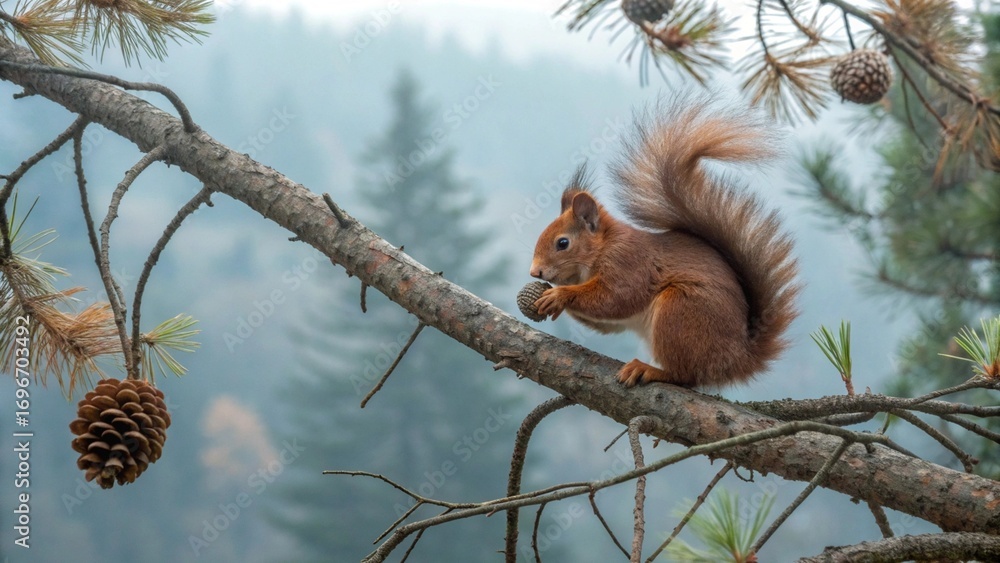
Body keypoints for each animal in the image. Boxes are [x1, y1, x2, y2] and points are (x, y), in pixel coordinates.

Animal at [529, 98, 800, 388]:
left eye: (563, 243)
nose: (535, 272)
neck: (602, 249)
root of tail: (737, 359)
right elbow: (609, 322)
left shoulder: (629, 263)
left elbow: (616, 298)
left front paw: (560, 295)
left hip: (680, 310)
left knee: (685, 375)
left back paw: (649, 369)